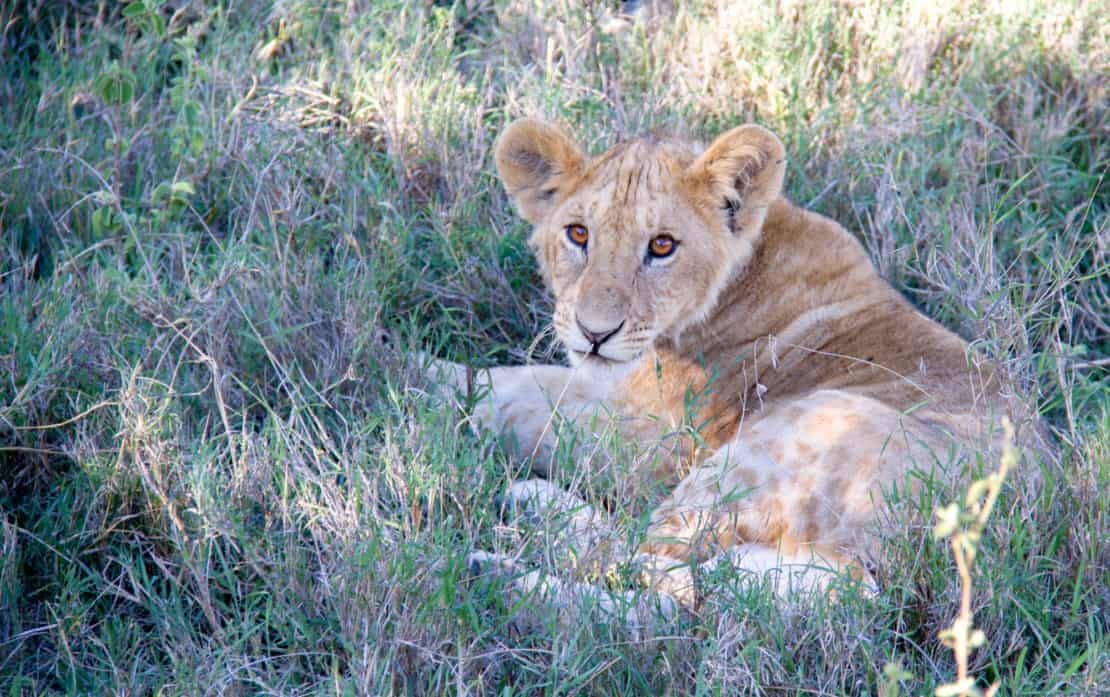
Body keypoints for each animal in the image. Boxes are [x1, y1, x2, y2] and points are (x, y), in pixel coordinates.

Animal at [426, 118, 1022, 628]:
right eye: (577, 234)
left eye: (662, 245)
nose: (596, 333)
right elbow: (529, 381)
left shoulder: (652, 440)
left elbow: (509, 399)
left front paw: (418, 383)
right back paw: (519, 527)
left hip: (777, 445)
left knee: (657, 574)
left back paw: (497, 563)